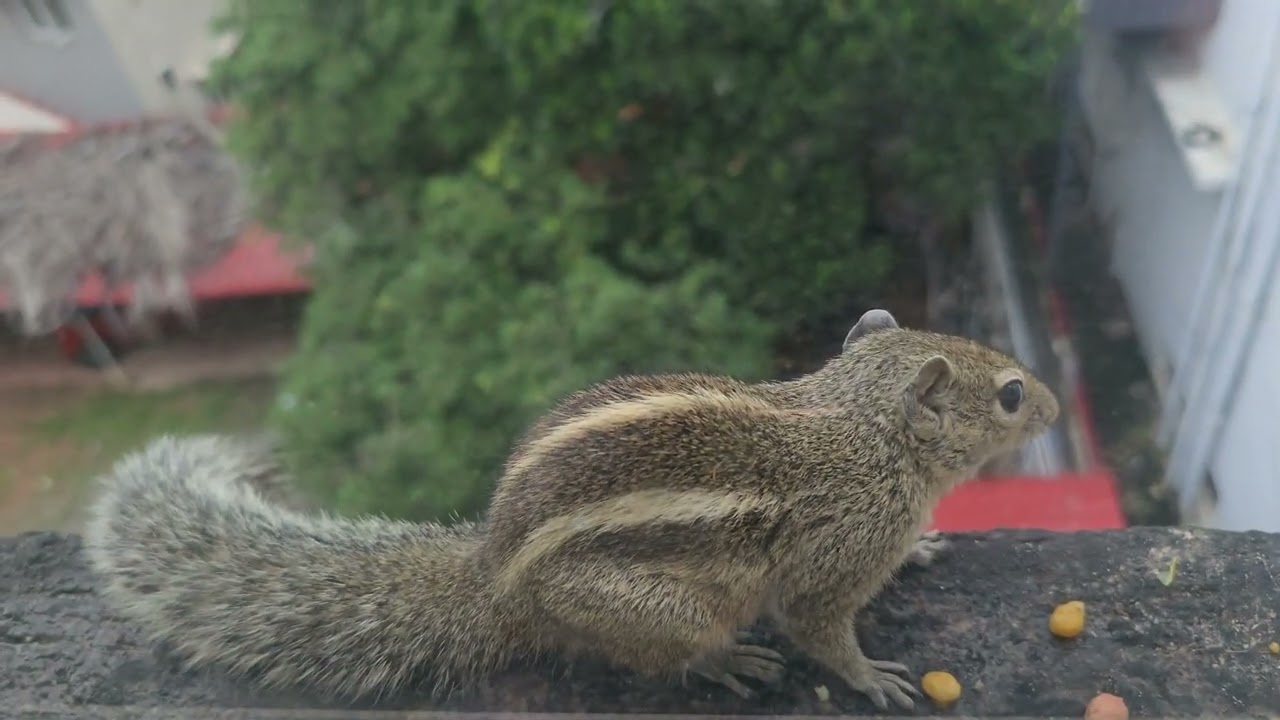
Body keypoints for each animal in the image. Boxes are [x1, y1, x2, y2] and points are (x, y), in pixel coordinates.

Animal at [82, 308, 1059, 711]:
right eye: (1011, 394)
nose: (1051, 404)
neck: (861, 424)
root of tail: (494, 582)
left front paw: (924, 549)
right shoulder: (832, 558)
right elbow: (820, 630)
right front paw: (868, 678)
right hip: (659, 606)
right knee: (656, 657)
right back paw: (723, 664)